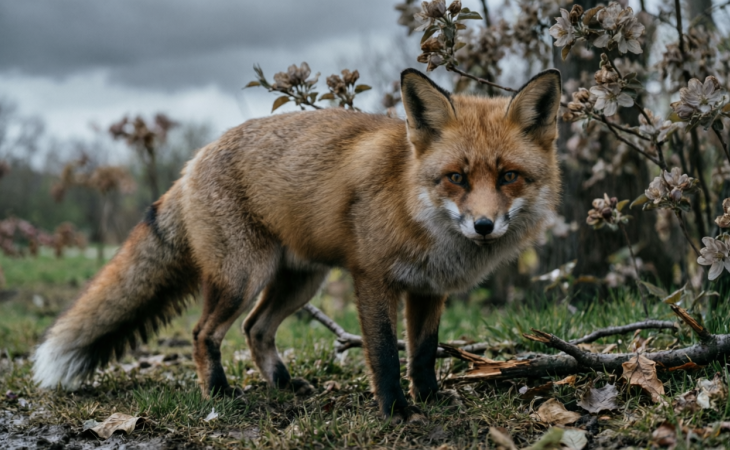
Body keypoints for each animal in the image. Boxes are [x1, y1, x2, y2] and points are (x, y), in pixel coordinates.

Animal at [33, 68, 562, 422]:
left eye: (509, 177)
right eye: (456, 178)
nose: (484, 225)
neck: (410, 199)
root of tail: (193, 160)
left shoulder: (429, 290)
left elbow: (424, 355)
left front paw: (430, 400)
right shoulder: (373, 280)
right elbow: (387, 356)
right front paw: (396, 411)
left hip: (300, 282)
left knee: (255, 329)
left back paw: (286, 386)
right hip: (243, 277)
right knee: (204, 333)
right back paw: (220, 394)